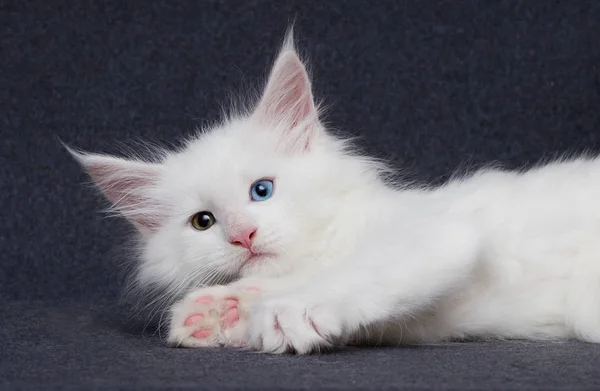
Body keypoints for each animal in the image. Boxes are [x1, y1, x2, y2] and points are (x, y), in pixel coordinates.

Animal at [68, 31, 600, 356]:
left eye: (262, 191)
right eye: (204, 222)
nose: (243, 235)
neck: (329, 242)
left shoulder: (439, 232)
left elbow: (357, 272)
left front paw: (289, 310)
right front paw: (222, 311)